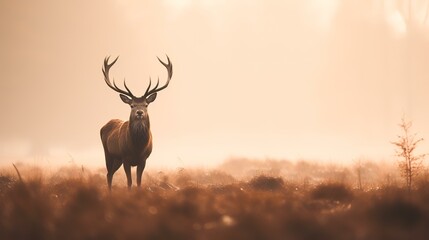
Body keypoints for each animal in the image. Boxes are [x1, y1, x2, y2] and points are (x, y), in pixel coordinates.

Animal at [100, 55, 172, 190]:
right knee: (108, 174)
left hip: (117, 159)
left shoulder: (143, 159)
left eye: (146, 104)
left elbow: (139, 182)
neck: (137, 147)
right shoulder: (126, 158)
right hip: (109, 153)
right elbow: (129, 183)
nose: (139, 112)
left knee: (110, 173)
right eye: (132, 105)